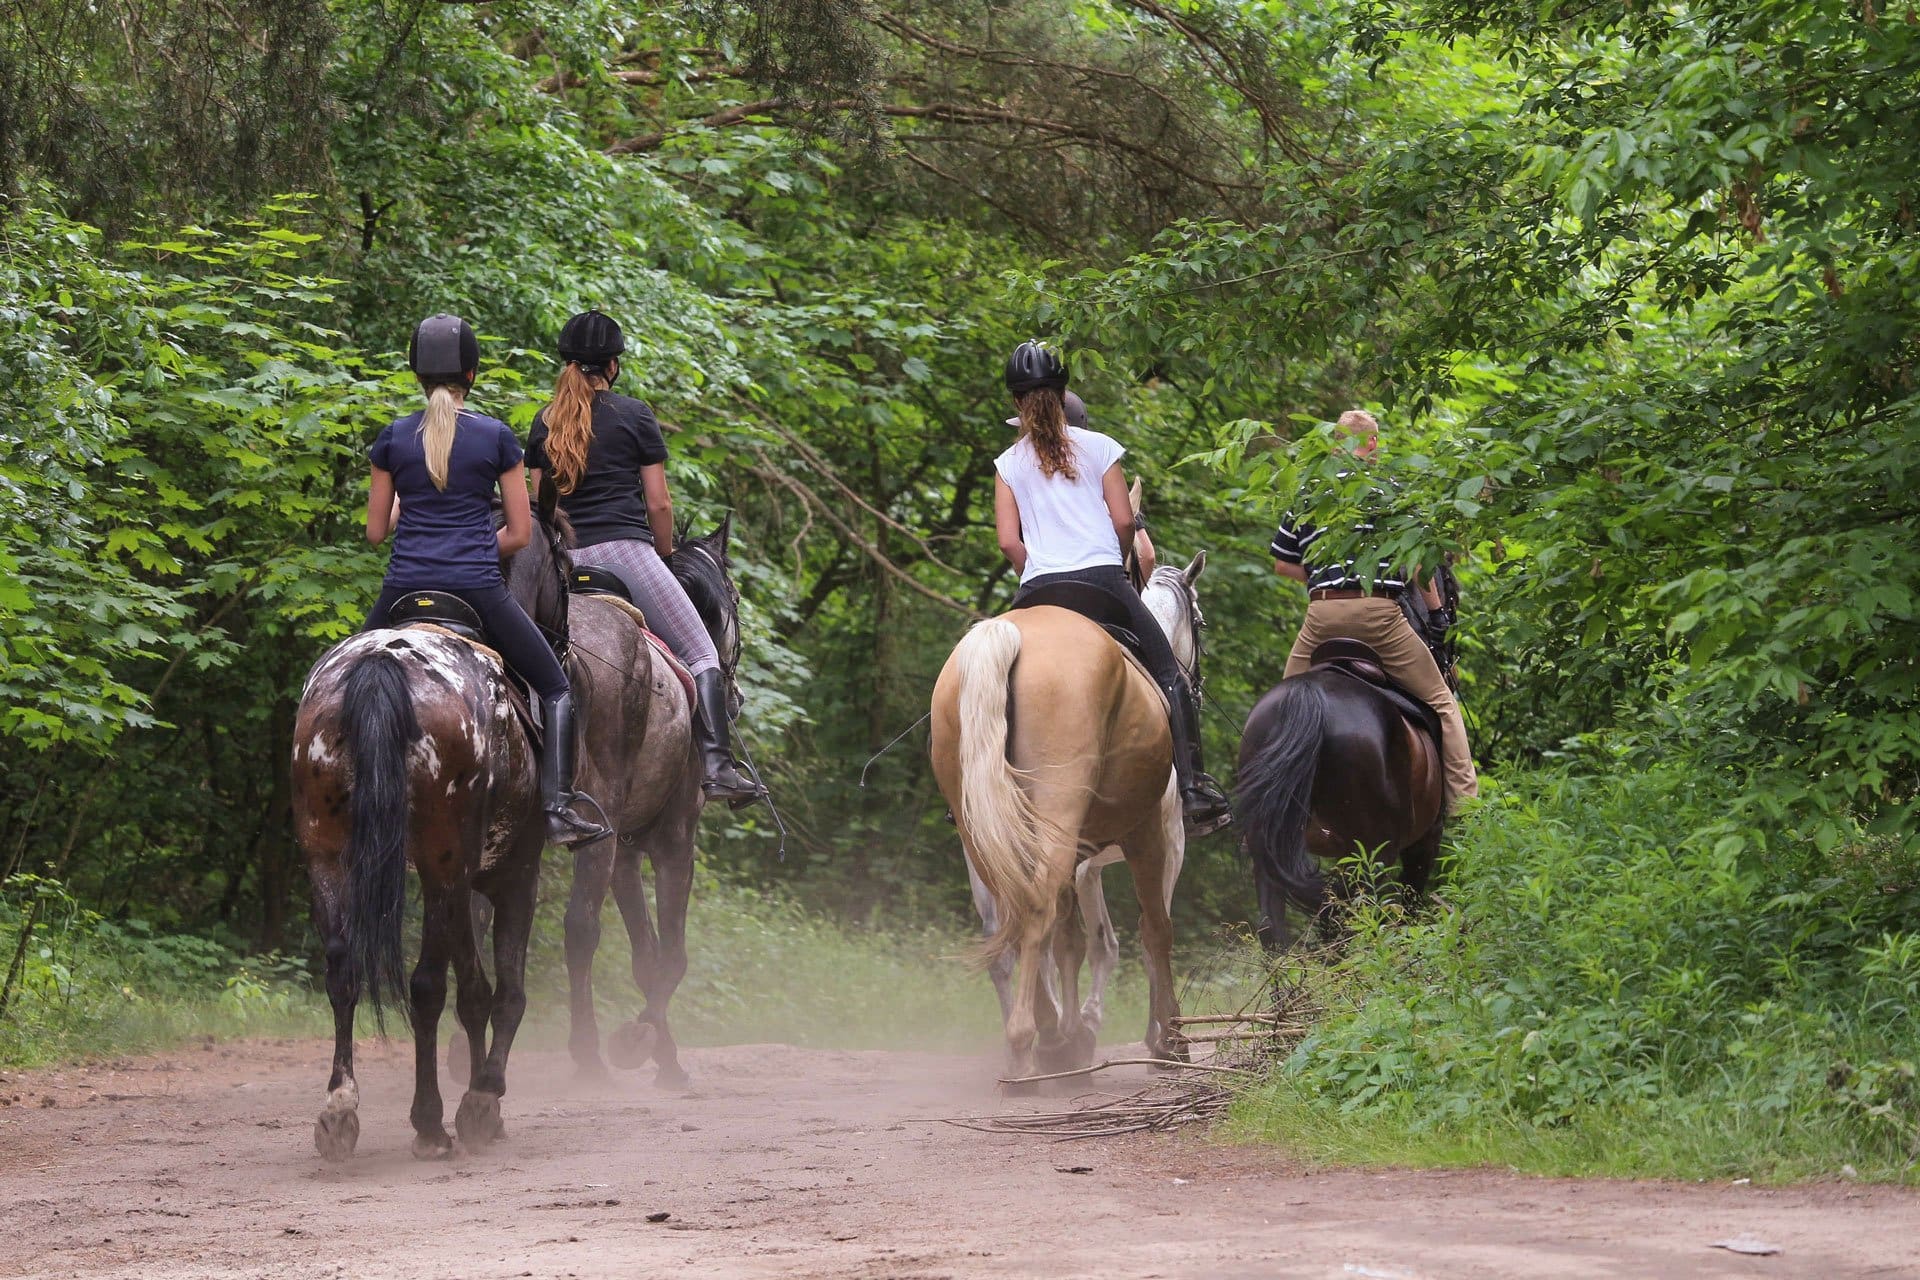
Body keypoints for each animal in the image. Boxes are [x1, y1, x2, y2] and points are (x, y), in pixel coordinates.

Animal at [288, 510, 564, 1159]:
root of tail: (382, 665)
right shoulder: (512, 874)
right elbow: (500, 992)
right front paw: (483, 1099)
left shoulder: (458, 878)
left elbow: (475, 991)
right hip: (441, 861)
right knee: (425, 986)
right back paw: (431, 1121)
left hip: (330, 855)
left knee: (343, 970)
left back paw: (339, 1111)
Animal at [925, 556, 1198, 1090]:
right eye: (1199, 619)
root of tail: (1006, 635)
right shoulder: (1161, 839)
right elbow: (1153, 931)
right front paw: (1165, 1041)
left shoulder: (1083, 859)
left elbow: (1075, 940)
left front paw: (1078, 1034)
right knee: (1041, 914)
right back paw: (1033, 1044)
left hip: (984, 833)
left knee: (1013, 928)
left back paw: (1044, 1039)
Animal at [1236, 667, 1443, 948]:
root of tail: (1308, 694)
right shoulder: (1425, 841)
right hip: (1375, 853)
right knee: (1359, 918)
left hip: (1270, 846)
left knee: (1272, 927)